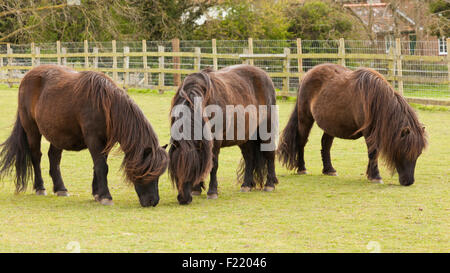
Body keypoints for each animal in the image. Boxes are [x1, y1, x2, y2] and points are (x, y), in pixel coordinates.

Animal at [0, 65, 168, 206]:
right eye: (147, 172)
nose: (153, 201)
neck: (105, 105)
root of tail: (27, 76)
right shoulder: (94, 140)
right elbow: (101, 166)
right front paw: (105, 196)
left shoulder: (105, 143)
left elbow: (98, 166)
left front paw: (97, 194)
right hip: (32, 130)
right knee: (36, 156)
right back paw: (40, 187)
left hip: (57, 134)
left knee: (54, 158)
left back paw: (61, 188)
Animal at [169, 64, 278, 204]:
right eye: (174, 171)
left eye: (192, 170)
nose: (183, 199)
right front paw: (197, 188)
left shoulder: (215, 141)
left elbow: (213, 165)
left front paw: (212, 191)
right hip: (245, 136)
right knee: (249, 158)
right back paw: (246, 185)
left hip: (266, 129)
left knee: (269, 154)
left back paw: (270, 184)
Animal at [278, 63, 428, 185]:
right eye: (404, 151)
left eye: (418, 154)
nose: (408, 182)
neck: (375, 101)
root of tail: (308, 74)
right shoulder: (369, 132)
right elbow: (373, 152)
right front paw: (375, 176)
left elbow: (373, 153)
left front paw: (370, 174)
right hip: (305, 118)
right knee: (301, 142)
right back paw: (302, 168)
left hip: (331, 124)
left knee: (325, 144)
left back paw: (329, 170)